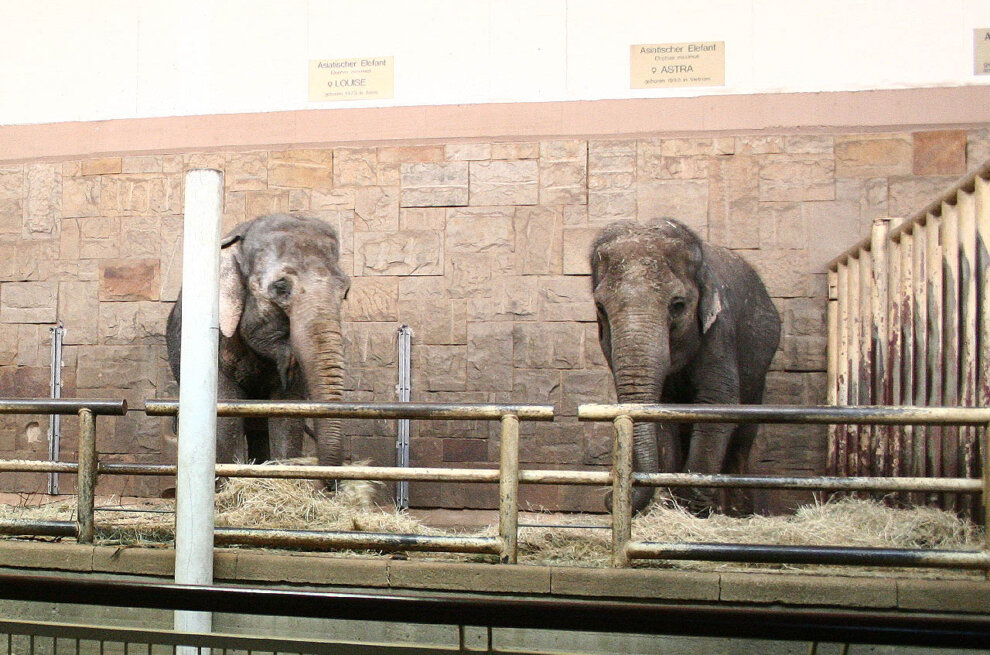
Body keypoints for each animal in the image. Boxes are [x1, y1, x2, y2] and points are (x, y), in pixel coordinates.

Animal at [588, 220, 784, 516]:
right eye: (600, 307)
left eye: (678, 305)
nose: (609, 498)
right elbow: (662, 412)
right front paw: (673, 505)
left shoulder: (720, 329)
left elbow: (716, 402)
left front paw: (694, 508)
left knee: (743, 434)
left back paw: (737, 511)